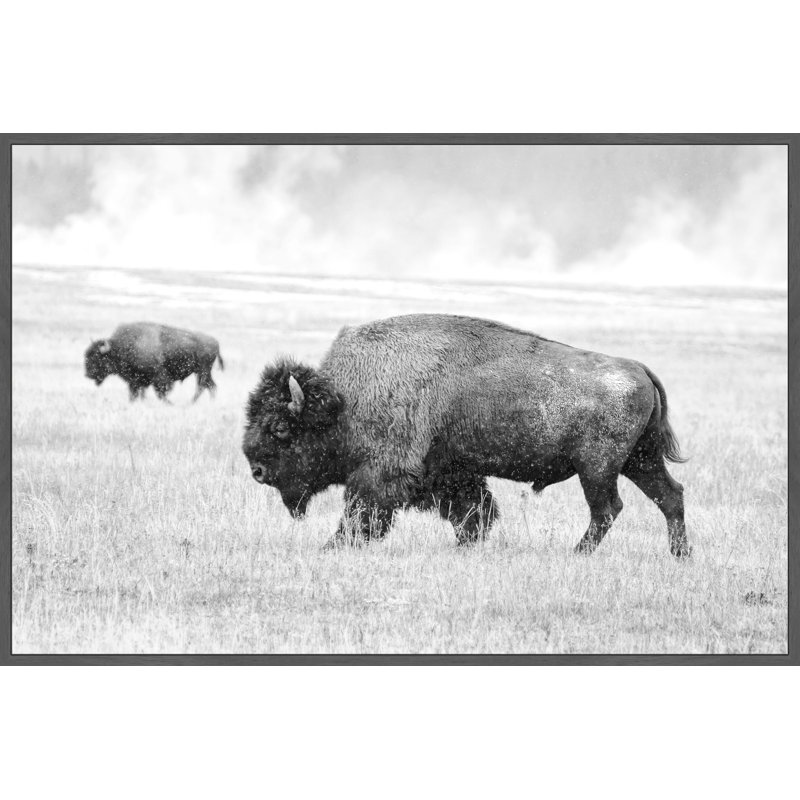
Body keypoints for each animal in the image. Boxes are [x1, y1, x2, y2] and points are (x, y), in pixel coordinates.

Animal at [85, 322, 224, 402]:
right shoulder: (136, 381)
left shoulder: (159, 378)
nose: (87, 374)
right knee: (211, 385)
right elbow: (136, 393)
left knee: (202, 386)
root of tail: (216, 342)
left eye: (97, 357)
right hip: (204, 372)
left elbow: (160, 392)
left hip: (202, 371)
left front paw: (168, 403)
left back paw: (191, 402)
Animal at [243, 314, 689, 557]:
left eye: (280, 428)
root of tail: (637, 368)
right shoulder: (450, 473)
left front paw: (332, 547)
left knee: (608, 509)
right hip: (639, 461)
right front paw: (465, 546)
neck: (345, 399)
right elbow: (475, 511)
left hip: (597, 468)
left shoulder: (382, 474)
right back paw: (681, 556)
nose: (257, 470)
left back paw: (576, 554)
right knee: (670, 495)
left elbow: (361, 514)